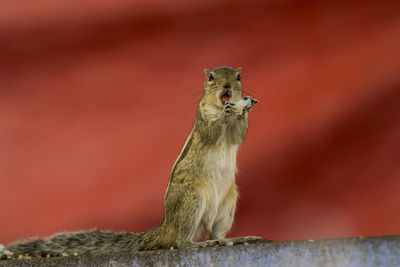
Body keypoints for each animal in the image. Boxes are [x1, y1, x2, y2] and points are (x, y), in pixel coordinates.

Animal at [4, 66, 260, 258]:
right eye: (211, 77)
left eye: (238, 76)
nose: (227, 86)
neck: (219, 107)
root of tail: (166, 225)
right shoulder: (203, 118)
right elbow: (211, 132)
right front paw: (231, 111)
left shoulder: (235, 133)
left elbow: (239, 134)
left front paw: (244, 108)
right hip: (192, 200)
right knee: (181, 241)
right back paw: (200, 243)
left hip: (227, 205)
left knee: (216, 234)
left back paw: (234, 239)